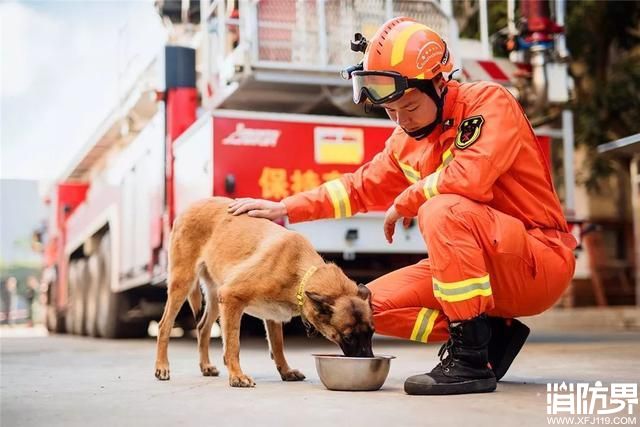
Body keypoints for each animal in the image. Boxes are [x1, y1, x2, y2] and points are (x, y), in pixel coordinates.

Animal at [156, 197, 376, 388]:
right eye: (348, 337)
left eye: (372, 332)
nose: (369, 359)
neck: (300, 273)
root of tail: (193, 204)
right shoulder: (231, 298)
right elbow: (233, 345)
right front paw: (237, 376)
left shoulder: (271, 316)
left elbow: (277, 346)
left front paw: (285, 371)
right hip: (183, 283)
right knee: (164, 325)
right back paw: (162, 367)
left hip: (215, 297)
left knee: (202, 327)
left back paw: (205, 366)